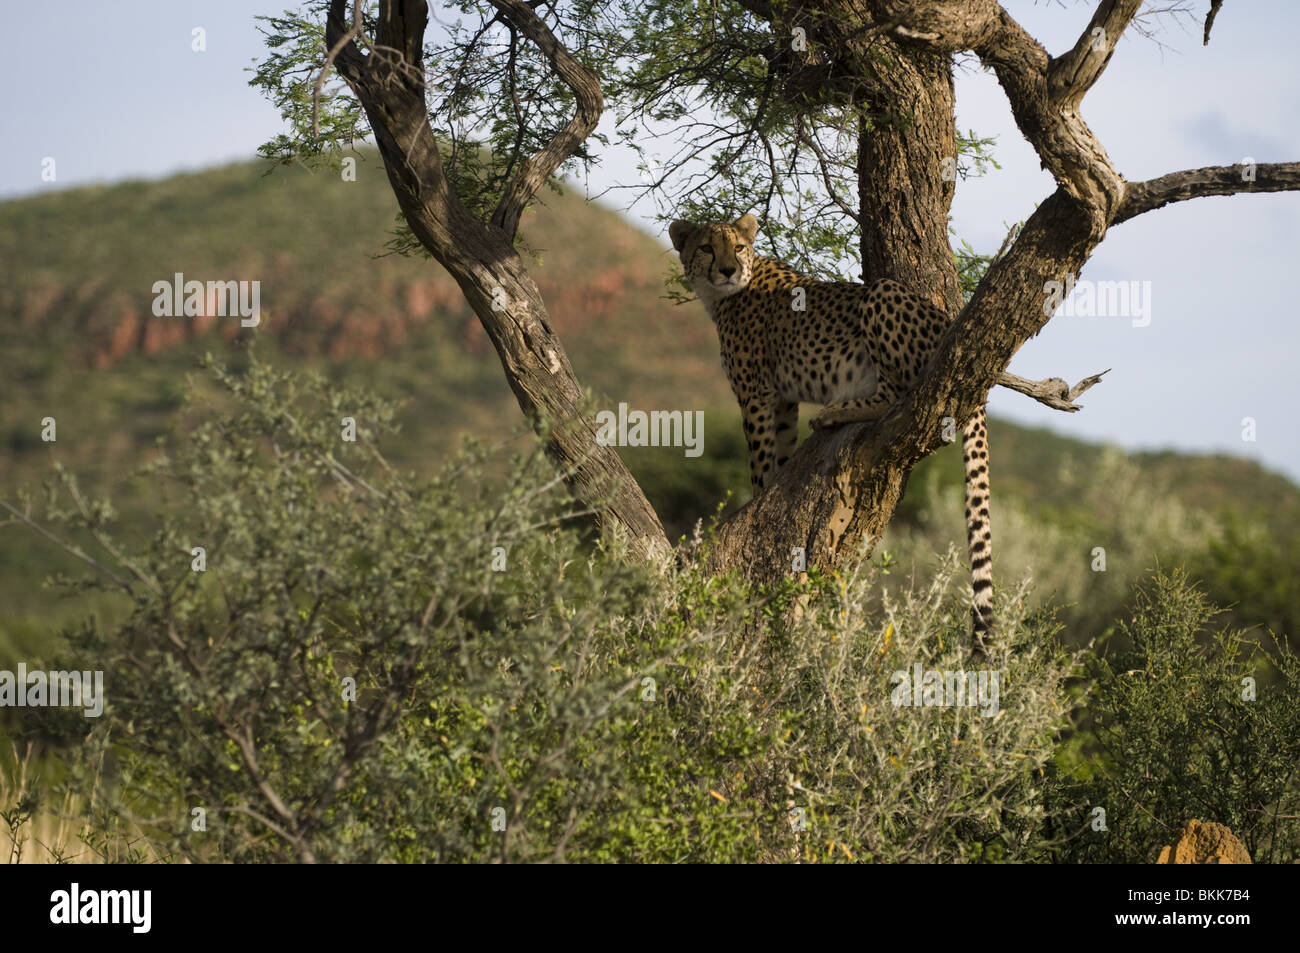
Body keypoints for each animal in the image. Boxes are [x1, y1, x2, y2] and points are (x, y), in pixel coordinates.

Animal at [670, 214, 993, 647]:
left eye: (737, 247)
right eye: (706, 247)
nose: (727, 269)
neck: (724, 294)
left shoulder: (756, 394)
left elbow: (759, 459)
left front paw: (759, 496)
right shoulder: (782, 399)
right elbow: (781, 449)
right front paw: (777, 485)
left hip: (881, 295)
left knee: (896, 393)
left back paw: (833, 412)